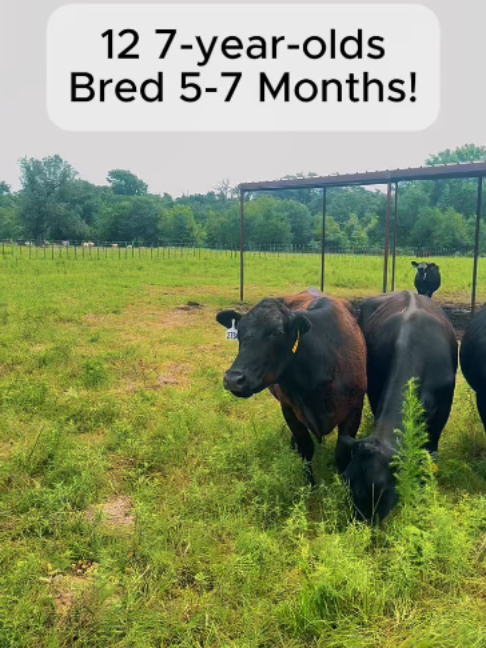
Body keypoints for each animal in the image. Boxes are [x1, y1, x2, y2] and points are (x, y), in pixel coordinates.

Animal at [216, 290, 367, 484]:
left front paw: (342, 486)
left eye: (277, 332)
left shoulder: (354, 409)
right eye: (239, 332)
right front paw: (310, 485)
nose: (233, 379)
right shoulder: (289, 409)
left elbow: (342, 455)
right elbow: (306, 448)